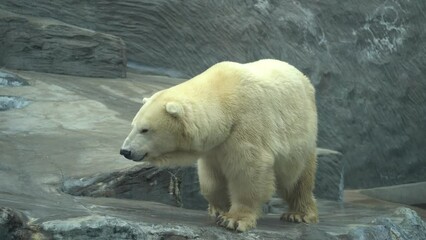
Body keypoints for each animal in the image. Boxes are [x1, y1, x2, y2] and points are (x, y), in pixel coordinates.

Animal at [119, 59, 316, 232]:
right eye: (133, 125)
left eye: (145, 129)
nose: (125, 151)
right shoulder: (215, 145)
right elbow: (211, 179)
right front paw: (218, 209)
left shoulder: (247, 125)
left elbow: (248, 170)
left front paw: (234, 219)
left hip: (301, 134)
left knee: (298, 178)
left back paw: (298, 214)